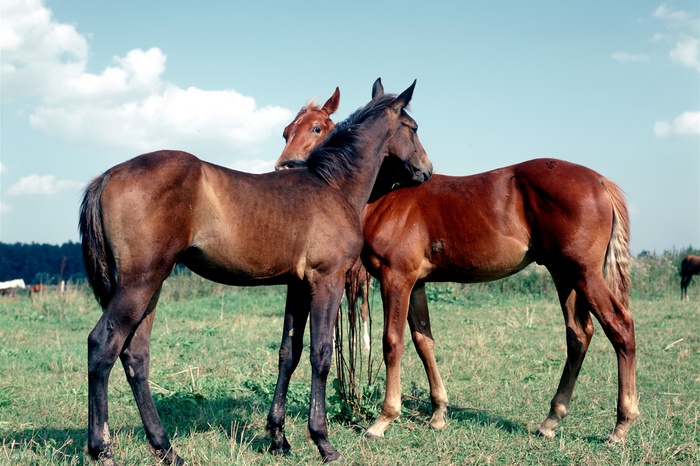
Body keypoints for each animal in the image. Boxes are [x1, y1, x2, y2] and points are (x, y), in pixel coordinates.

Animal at [82, 81, 432, 466]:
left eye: (314, 128)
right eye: (414, 127)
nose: (426, 170)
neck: (332, 187)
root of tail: (108, 175)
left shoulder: (298, 285)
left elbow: (288, 353)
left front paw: (279, 438)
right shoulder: (327, 279)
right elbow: (321, 353)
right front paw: (323, 441)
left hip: (151, 285)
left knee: (136, 356)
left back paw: (166, 449)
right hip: (139, 283)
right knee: (102, 345)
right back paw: (102, 449)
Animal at [274, 79, 640, 444]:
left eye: (317, 127)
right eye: (286, 131)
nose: (285, 167)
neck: (386, 198)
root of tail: (599, 181)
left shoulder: (397, 278)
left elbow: (393, 342)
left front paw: (384, 419)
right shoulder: (416, 283)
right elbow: (424, 340)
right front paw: (438, 413)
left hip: (584, 273)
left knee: (619, 326)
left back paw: (622, 423)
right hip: (564, 274)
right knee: (578, 335)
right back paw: (552, 419)